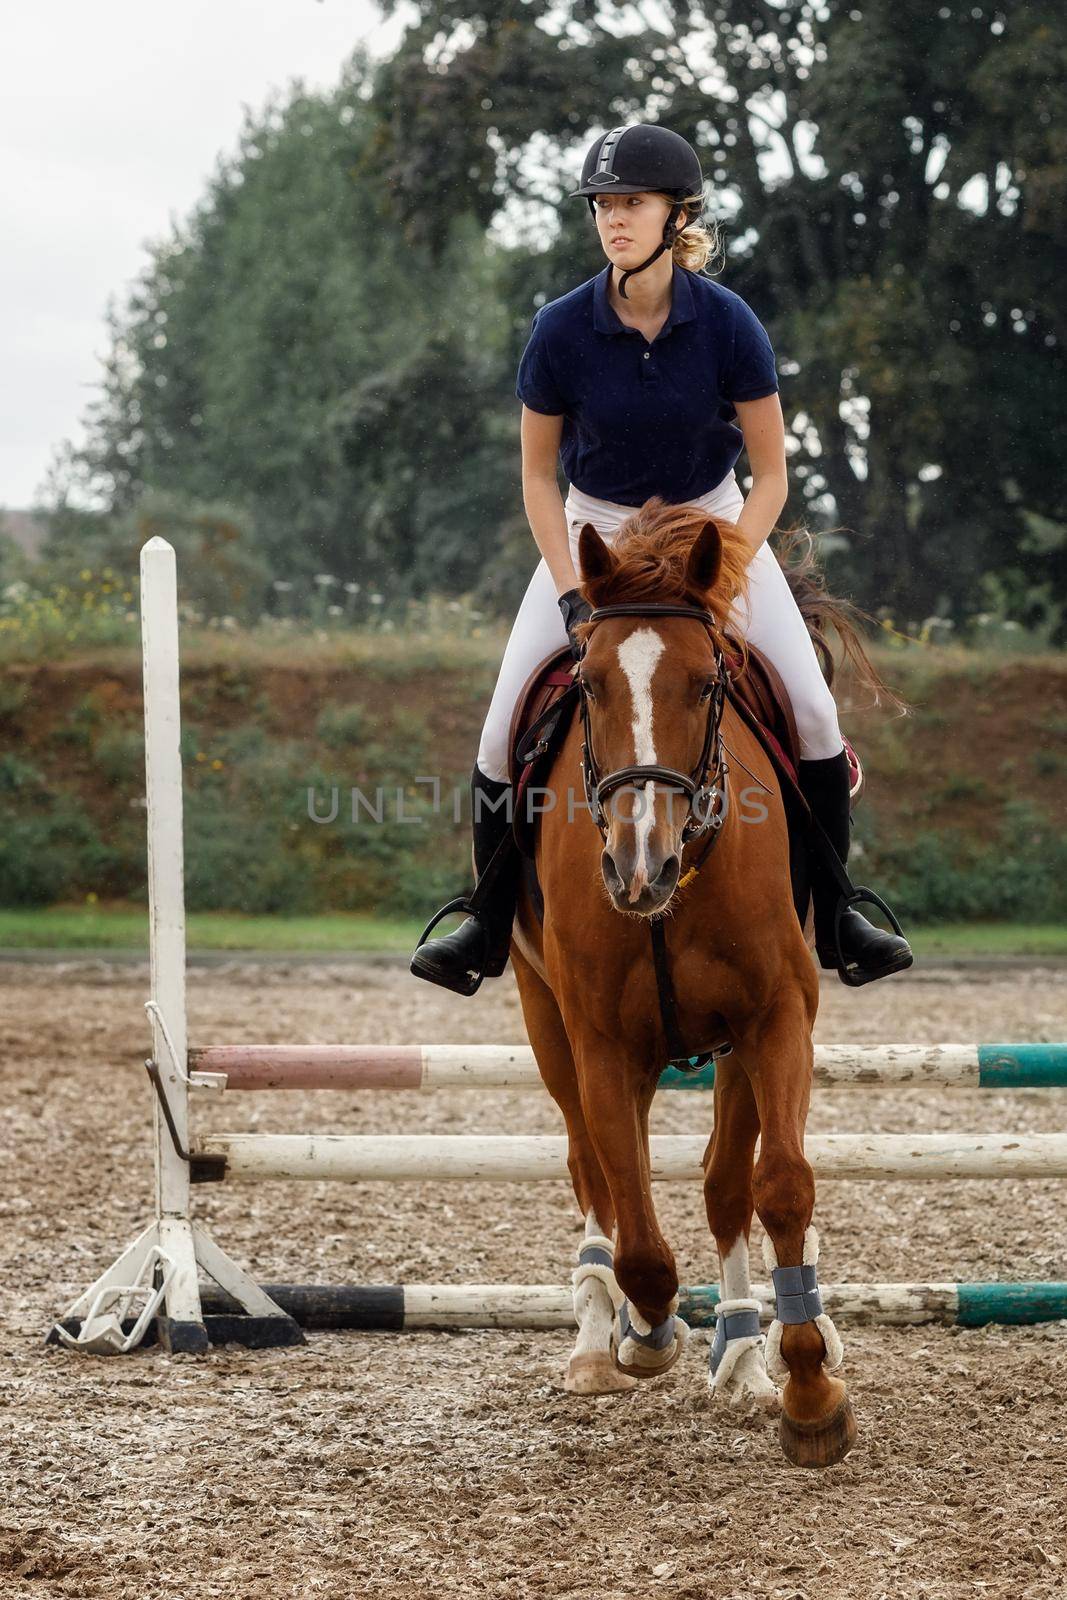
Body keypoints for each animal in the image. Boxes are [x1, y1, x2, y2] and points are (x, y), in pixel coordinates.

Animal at [508, 505, 857, 1465]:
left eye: (706, 686)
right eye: (588, 687)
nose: (639, 867)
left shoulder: (773, 1018)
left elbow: (774, 1184)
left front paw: (806, 1387)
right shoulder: (598, 1042)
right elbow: (637, 1233)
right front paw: (644, 1334)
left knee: (719, 1183)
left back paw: (742, 1348)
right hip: (545, 1020)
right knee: (593, 1173)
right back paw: (601, 1341)